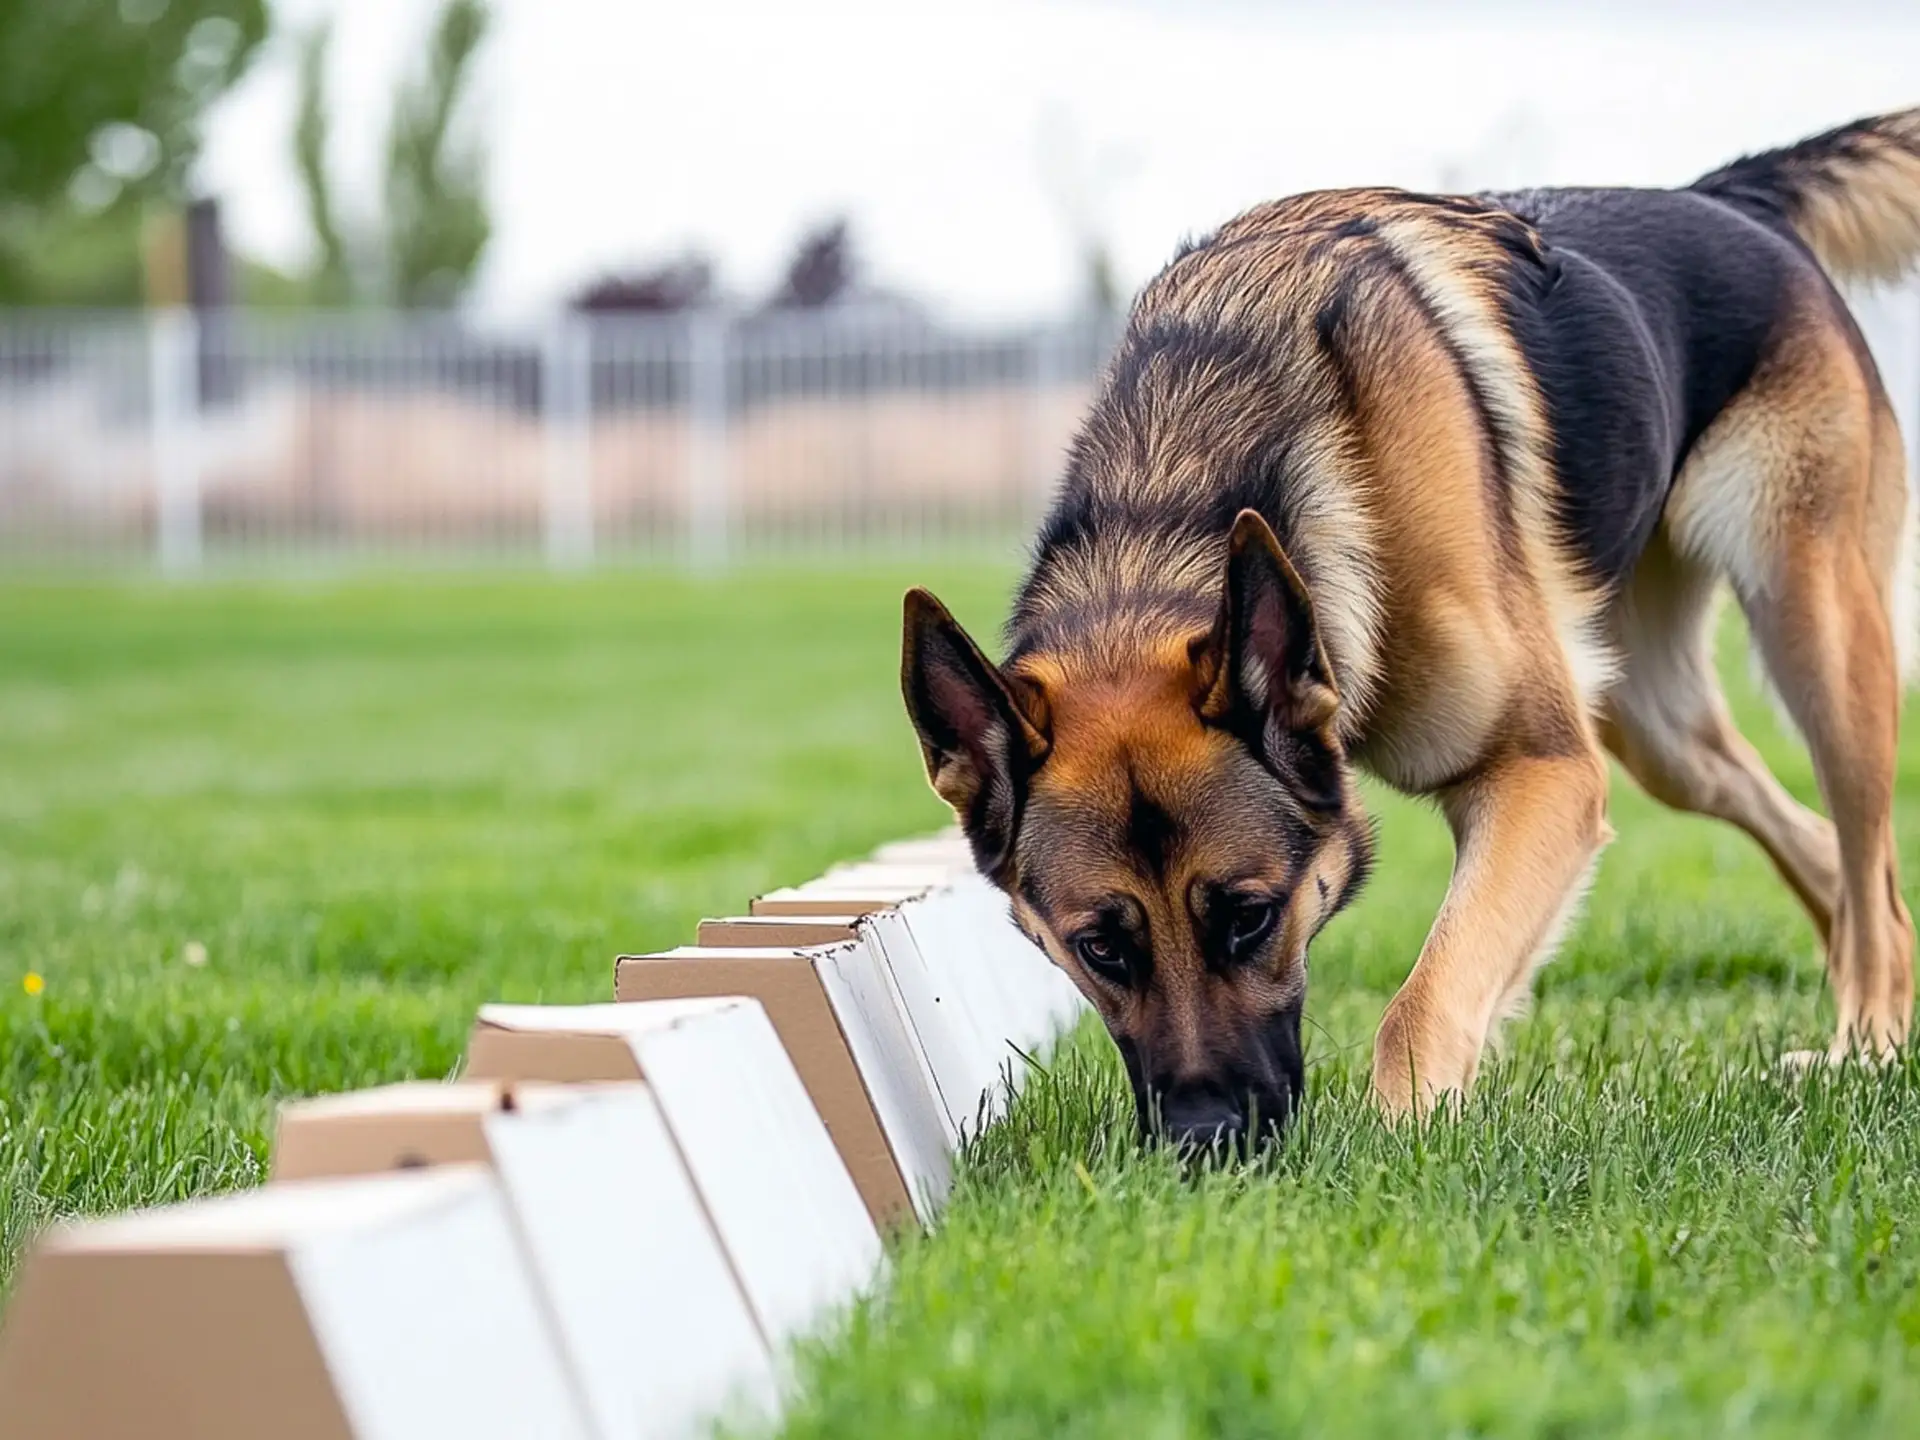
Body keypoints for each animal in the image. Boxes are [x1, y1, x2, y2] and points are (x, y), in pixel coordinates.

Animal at [898, 109, 1920, 1152]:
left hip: (1818, 646)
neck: (1174, 494)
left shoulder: (1546, 775)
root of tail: (1727, 197)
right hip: (1660, 731)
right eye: (1099, 946)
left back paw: (1867, 1048)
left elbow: (1422, 1002)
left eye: (1249, 917)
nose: (1206, 1138)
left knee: (1872, 876)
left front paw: (1404, 1144)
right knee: (1826, 849)